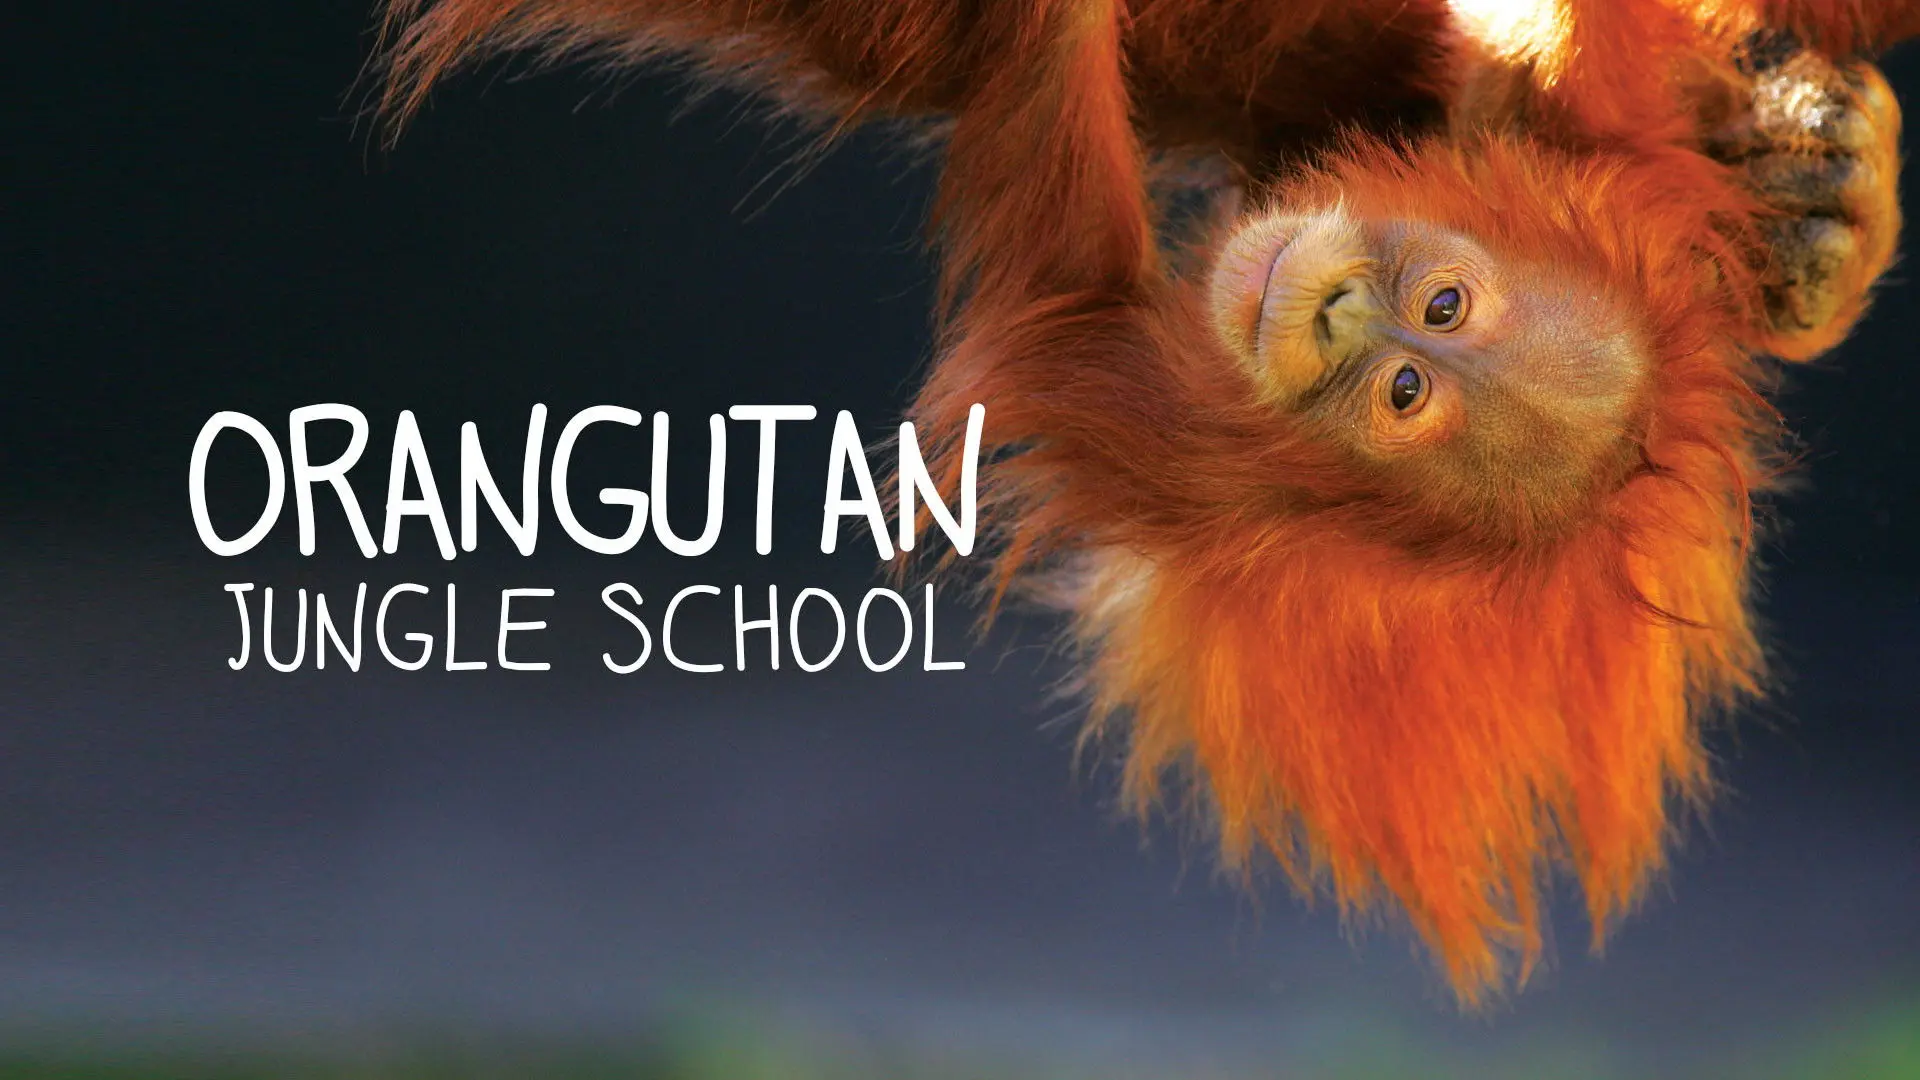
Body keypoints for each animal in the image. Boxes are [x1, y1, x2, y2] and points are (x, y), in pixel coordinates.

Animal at [372, 0, 1916, 1005]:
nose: (1342, 316)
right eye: (1442, 310)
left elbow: (1064, 265)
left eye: (1405, 394)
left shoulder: (1176, 444)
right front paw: (1791, 185)